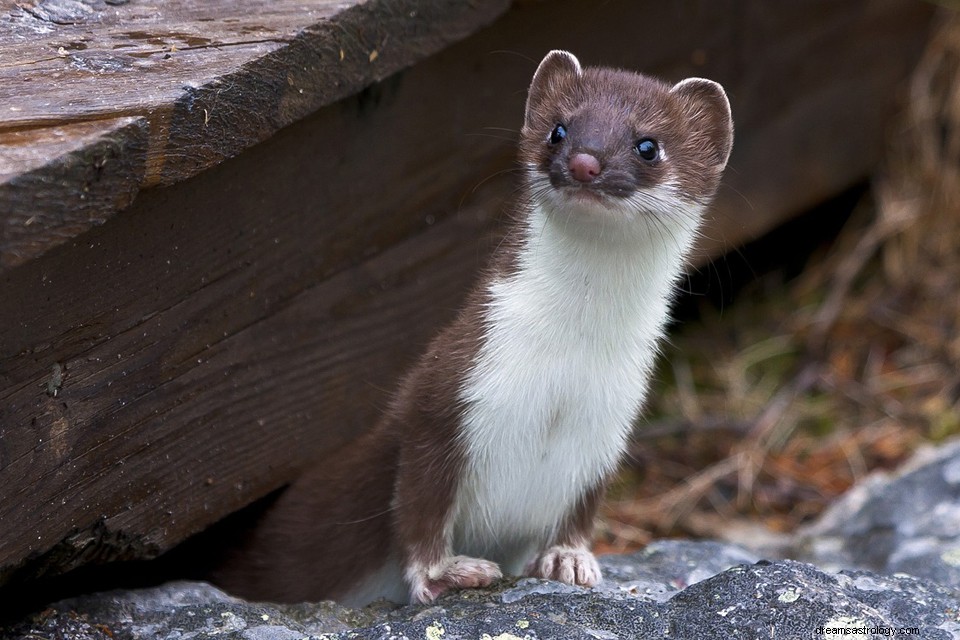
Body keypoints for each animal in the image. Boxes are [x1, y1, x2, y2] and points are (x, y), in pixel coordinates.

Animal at [212, 48, 736, 604]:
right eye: (558, 129)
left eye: (648, 145)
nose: (585, 161)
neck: (566, 368)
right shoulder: (449, 390)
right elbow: (417, 505)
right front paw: (444, 572)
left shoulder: (609, 425)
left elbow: (580, 510)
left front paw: (569, 559)